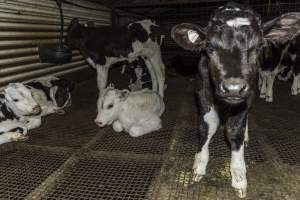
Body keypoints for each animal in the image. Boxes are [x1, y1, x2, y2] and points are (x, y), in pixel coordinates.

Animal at [171, 1, 300, 198]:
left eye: (258, 47)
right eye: (210, 47)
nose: (233, 88)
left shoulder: (247, 95)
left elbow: (235, 130)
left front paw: (239, 175)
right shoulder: (202, 90)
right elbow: (207, 125)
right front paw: (200, 163)